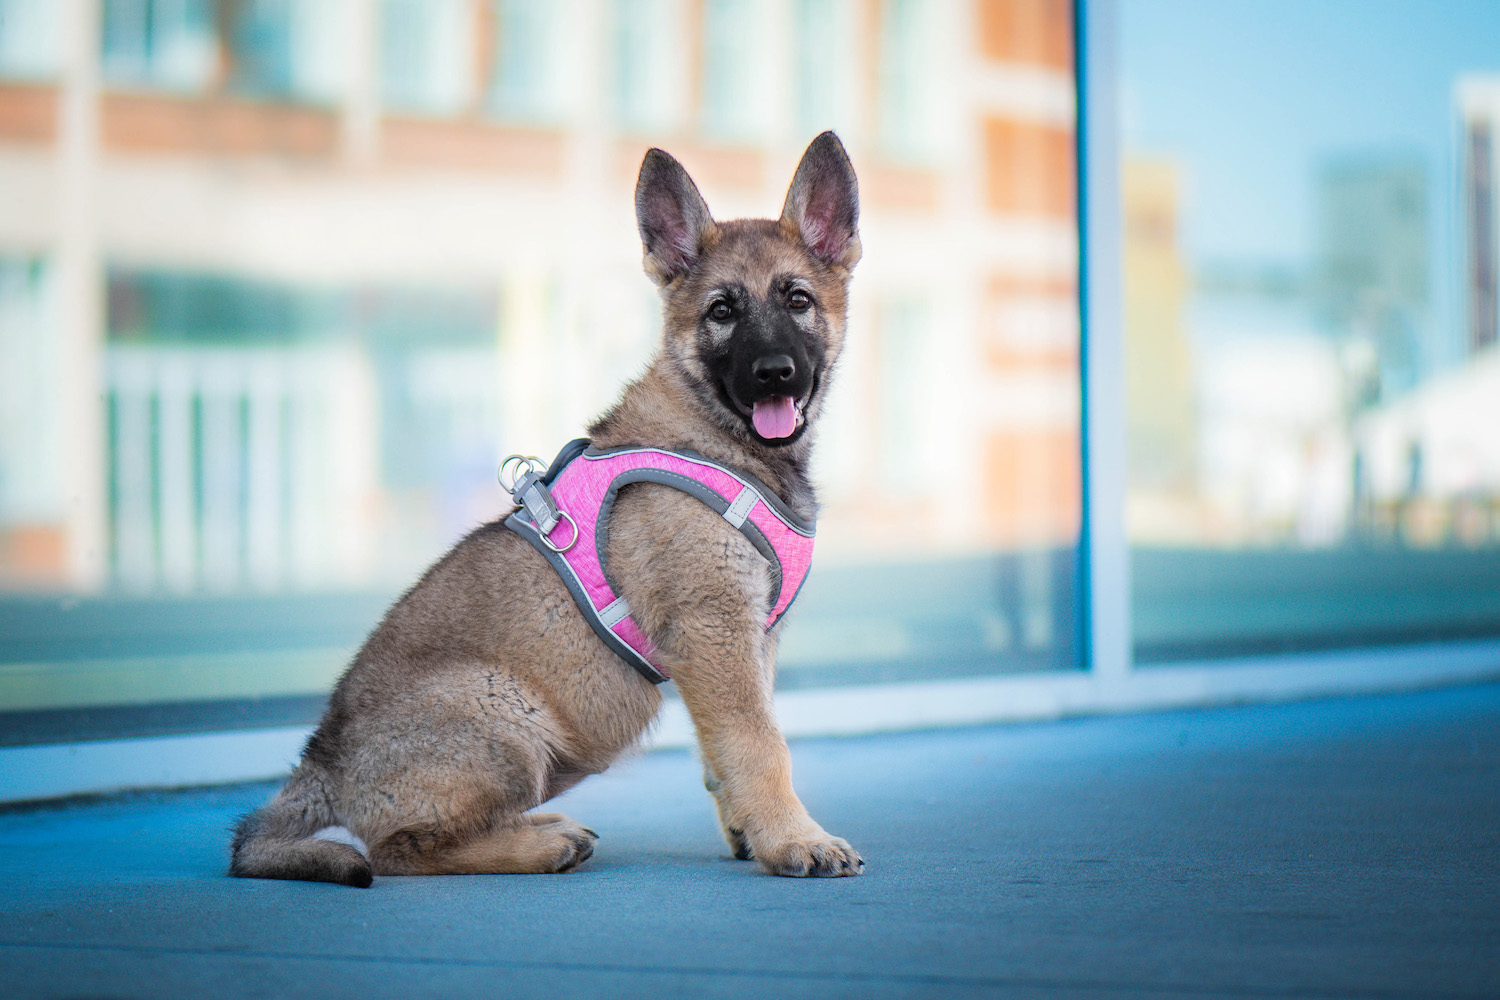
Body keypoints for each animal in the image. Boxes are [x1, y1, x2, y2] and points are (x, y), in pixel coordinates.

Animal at [223, 131, 864, 881]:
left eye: (797, 300)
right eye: (722, 312)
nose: (773, 375)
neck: (717, 436)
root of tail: (324, 758)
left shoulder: (746, 641)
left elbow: (726, 752)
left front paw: (751, 832)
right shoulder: (715, 631)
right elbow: (761, 747)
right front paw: (796, 839)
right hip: (508, 718)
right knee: (398, 850)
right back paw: (537, 843)